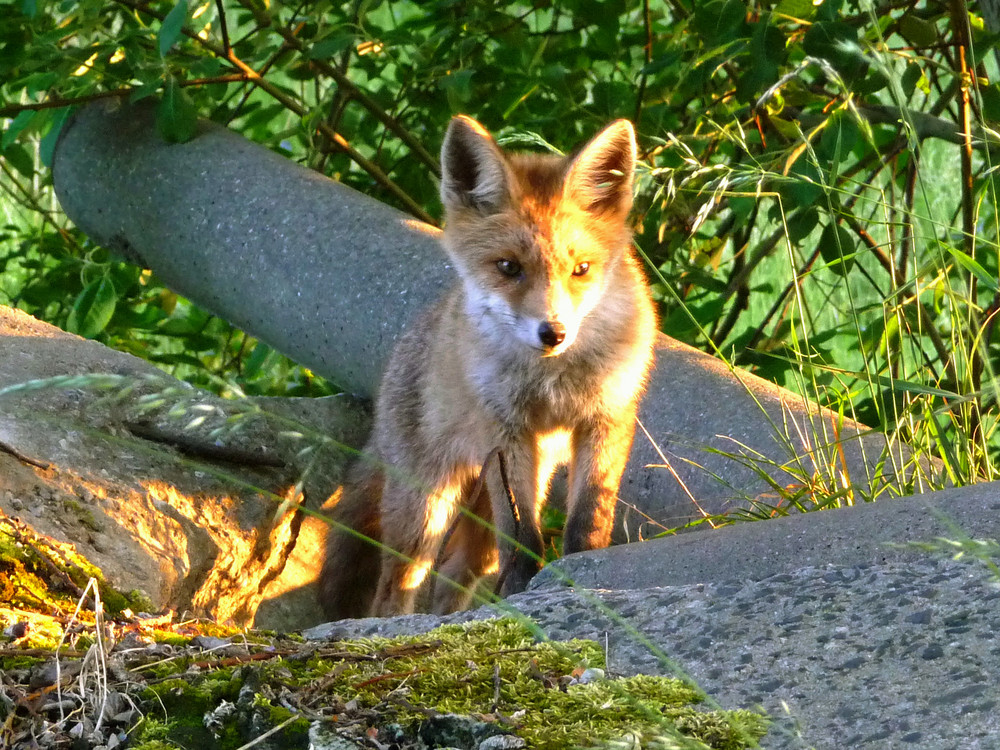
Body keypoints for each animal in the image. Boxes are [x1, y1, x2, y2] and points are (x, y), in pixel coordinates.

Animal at [320, 114, 660, 620]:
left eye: (581, 269)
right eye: (508, 267)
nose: (553, 332)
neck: (551, 379)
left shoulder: (607, 417)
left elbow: (588, 519)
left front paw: (583, 573)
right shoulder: (507, 433)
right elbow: (522, 539)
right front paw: (523, 591)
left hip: (493, 504)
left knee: (456, 576)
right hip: (426, 509)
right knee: (396, 586)